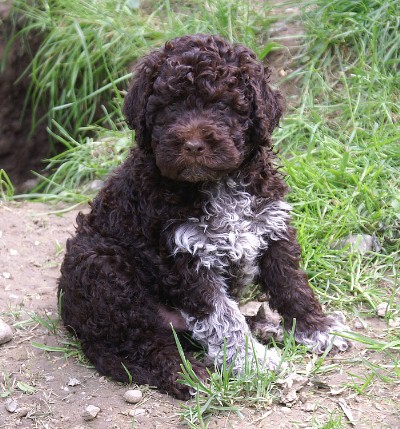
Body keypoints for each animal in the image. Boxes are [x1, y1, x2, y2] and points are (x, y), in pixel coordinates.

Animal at [57, 33, 348, 398]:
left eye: (223, 106)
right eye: (169, 107)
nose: (193, 145)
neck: (218, 185)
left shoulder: (271, 226)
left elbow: (292, 285)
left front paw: (317, 329)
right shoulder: (184, 259)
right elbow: (223, 319)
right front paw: (256, 365)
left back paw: (266, 327)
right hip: (101, 267)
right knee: (135, 348)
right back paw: (188, 375)